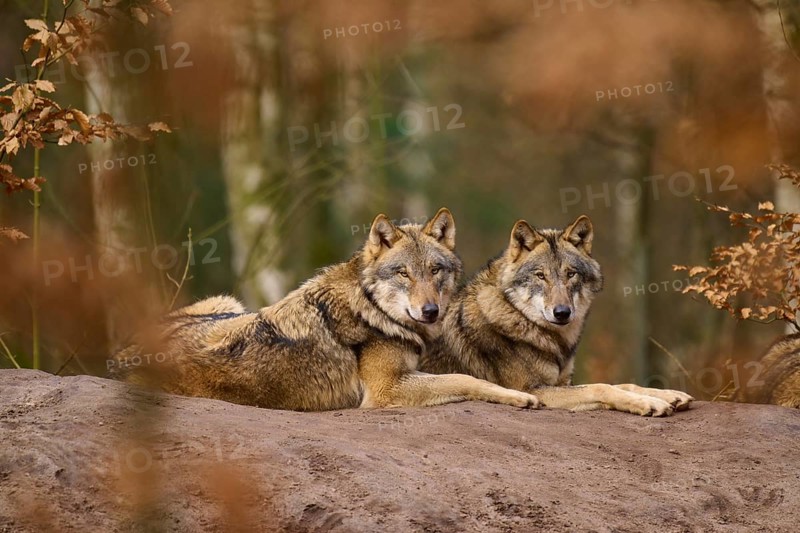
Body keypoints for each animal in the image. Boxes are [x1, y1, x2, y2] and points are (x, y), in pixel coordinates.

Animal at [110, 208, 540, 412]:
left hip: (229, 304)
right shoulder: (386, 389)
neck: (373, 308)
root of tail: (120, 356)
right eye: (403, 273)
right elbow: (466, 379)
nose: (430, 311)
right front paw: (521, 397)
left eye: (435, 270)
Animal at [419, 215, 694, 416]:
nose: (562, 313)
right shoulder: (535, 390)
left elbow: (624, 384)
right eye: (541, 276)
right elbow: (601, 386)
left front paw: (668, 395)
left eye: (571, 274)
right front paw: (649, 403)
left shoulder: (562, 383)